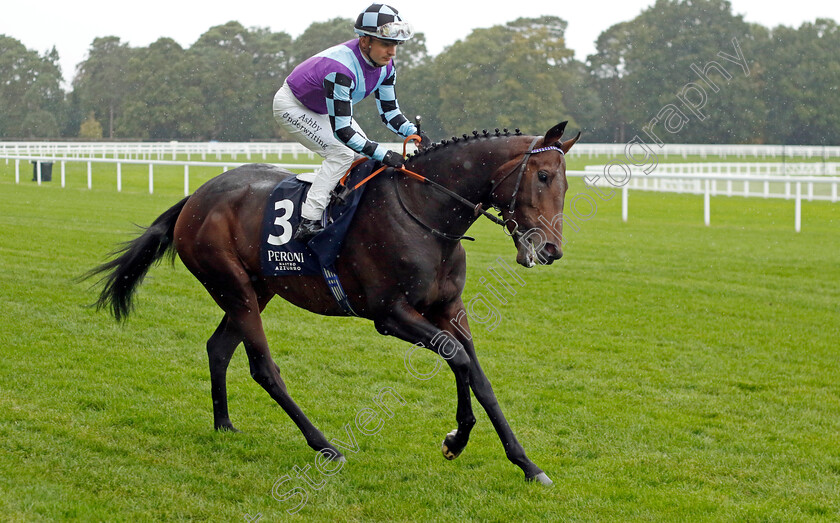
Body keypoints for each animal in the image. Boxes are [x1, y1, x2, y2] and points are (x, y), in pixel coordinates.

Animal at [88, 121, 580, 486]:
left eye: (566, 184)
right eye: (542, 177)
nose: (551, 249)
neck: (425, 212)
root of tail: (196, 196)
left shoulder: (448, 309)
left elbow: (478, 376)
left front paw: (525, 463)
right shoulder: (390, 314)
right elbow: (456, 357)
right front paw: (456, 440)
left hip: (255, 289)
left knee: (219, 348)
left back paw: (224, 424)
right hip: (235, 288)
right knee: (263, 368)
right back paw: (326, 446)